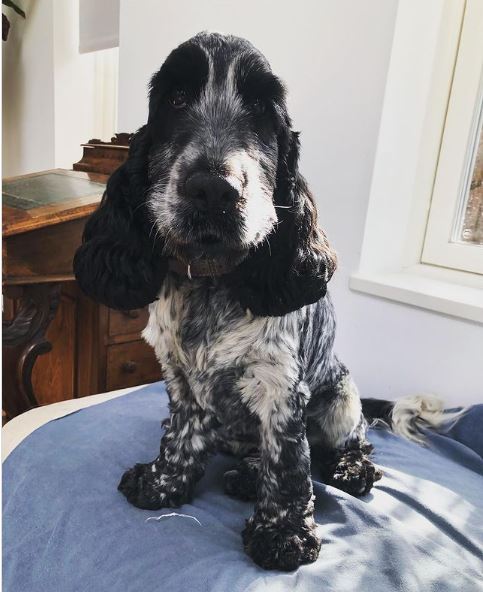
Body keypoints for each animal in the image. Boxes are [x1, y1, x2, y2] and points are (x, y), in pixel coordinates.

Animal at [73, 33, 452, 572]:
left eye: (260, 109)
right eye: (175, 99)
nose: (213, 189)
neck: (212, 282)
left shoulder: (279, 388)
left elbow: (290, 464)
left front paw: (283, 534)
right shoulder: (179, 378)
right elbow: (179, 436)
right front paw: (162, 483)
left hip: (341, 397)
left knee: (352, 441)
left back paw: (342, 470)